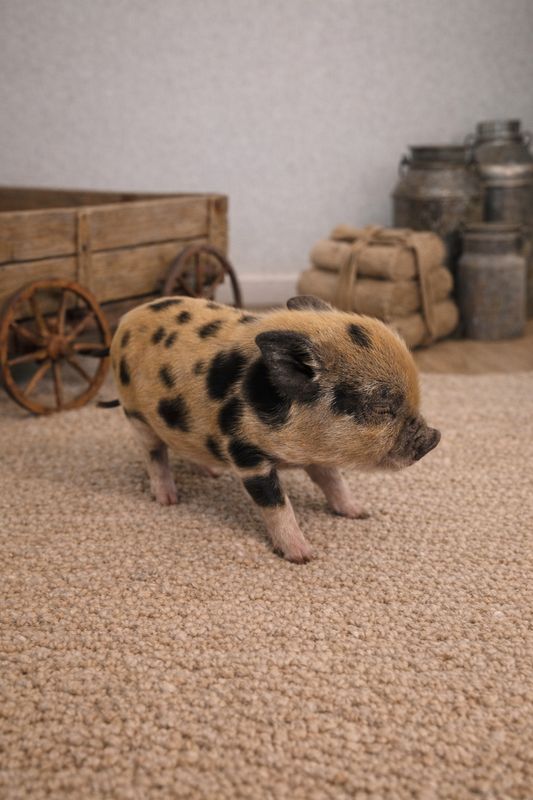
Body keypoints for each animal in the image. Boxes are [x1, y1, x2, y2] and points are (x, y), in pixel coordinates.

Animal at [105, 294, 440, 563]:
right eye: (382, 407)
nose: (434, 437)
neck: (300, 446)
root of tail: (127, 319)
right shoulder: (246, 456)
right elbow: (276, 504)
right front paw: (304, 557)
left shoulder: (317, 457)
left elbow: (334, 481)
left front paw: (360, 513)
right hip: (136, 415)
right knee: (155, 454)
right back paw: (169, 500)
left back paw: (211, 474)